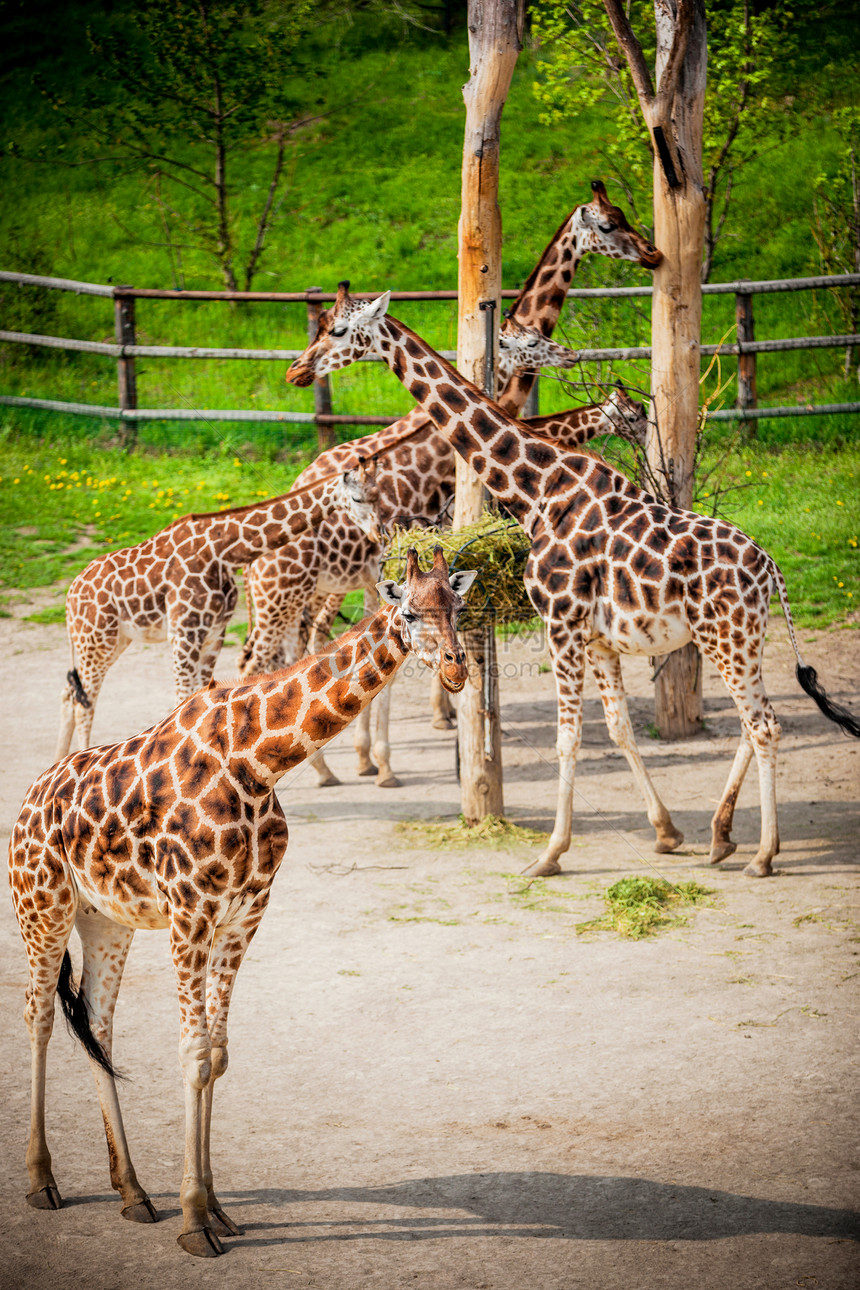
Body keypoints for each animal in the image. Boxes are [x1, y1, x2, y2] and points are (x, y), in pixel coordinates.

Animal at [8, 544, 477, 1259]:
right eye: (409, 611)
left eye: (459, 606)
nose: (456, 667)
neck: (259, 760)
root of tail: (29, 802)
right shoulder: (190, 912)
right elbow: (193, 1054)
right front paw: (195, 1222)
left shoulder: (244, 914)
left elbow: (219, 1056)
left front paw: (215, 1210)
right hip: (42, 905)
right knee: (37, 1016)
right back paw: (42, 1182)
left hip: (106, 921)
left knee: (96, 1022)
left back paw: (133, 1193)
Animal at [57, 461, 379, 753]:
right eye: (356, 499)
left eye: (376, 493)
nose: (378, 532)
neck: (223, 551)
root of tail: (70, 596)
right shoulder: (184, 634)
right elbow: (182, 699)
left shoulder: (213, 634)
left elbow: (200, 698)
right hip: (96, 643)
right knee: (84, 704)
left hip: (107, 643)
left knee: (69, 694)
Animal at [238, 179, 665, 784]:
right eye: (608, 225)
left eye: (624, 216)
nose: (652, 254)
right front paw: (420, 751)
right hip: (296, 589)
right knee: (269, 652)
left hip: (312, 589)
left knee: (295, 645)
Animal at [283, 287, 860, 882]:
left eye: (336, 331)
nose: (296, 370)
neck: (535, 489)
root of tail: (771, 569)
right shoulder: (598, 637)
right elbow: (618, 728)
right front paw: (666, 832)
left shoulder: (560, 622)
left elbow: (568, 738)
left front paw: (550, 853)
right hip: (734, 638)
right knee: (752, 723)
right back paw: (722, 836)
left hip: (728, 636)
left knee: (764, 724)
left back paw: (764, 855)